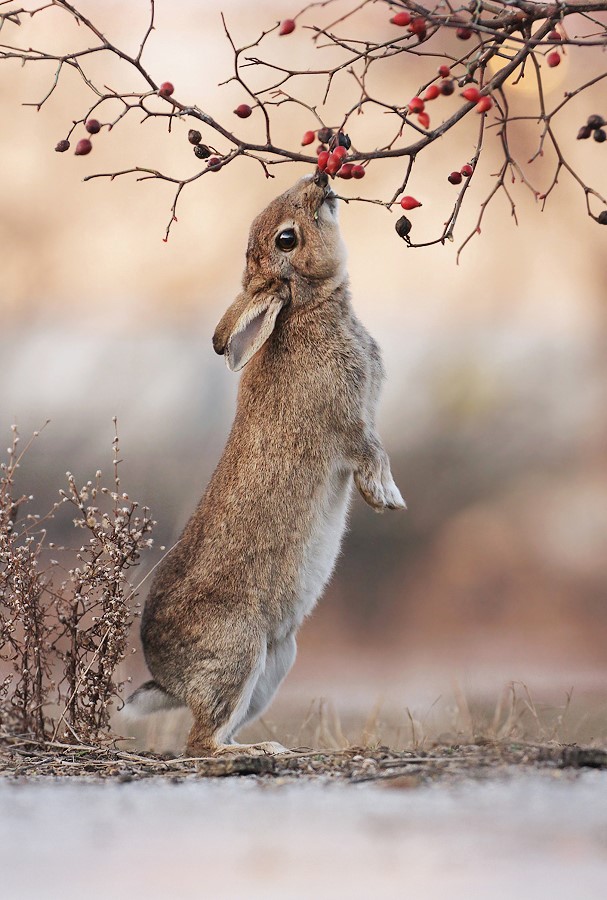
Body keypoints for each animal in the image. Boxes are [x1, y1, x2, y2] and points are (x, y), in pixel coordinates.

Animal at [125, 173, 405, 756]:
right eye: (287, 239)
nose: (319, 179)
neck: (306, 306)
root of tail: (167, 678)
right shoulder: (348, 424)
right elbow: (373, 453)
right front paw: (387, 499)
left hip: (277, 661)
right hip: (240, 651)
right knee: (200, 743)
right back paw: (259, 751)